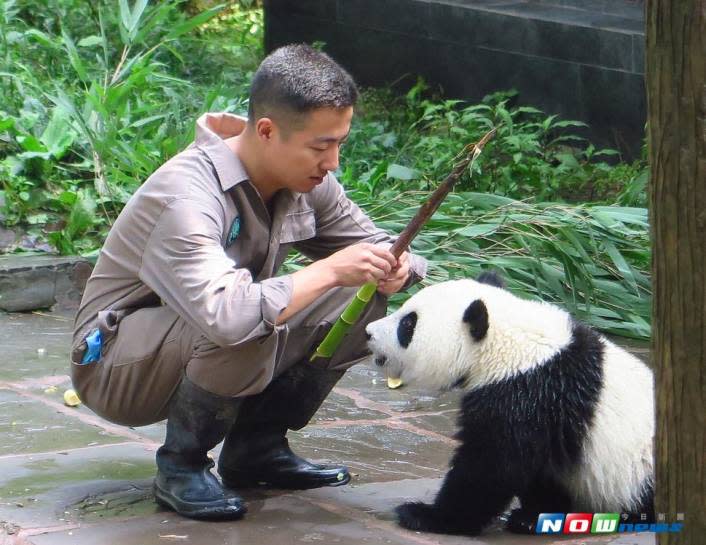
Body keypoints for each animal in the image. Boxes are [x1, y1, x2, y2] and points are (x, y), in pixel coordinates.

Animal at [366, 272, 652, 536]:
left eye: (408, 324)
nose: (368, 332)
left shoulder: (528, 394)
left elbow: (492, 464)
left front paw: (427, 516)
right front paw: (533, 515)